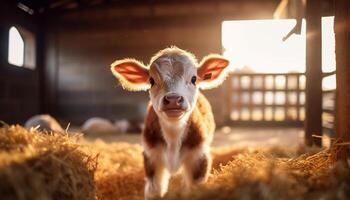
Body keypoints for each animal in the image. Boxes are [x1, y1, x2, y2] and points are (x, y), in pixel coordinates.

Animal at [109, 47, 230, 198]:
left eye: (194, 78)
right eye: (151, 80)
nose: (173, 99)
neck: (173, 136)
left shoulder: (199, 157)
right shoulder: (151, 157)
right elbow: (154, 191)